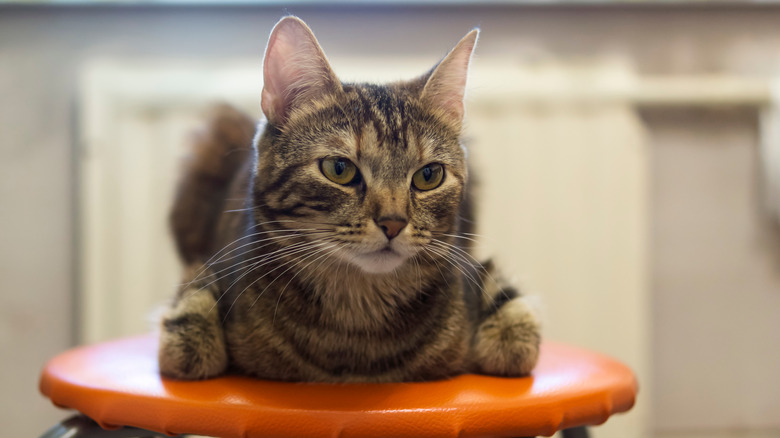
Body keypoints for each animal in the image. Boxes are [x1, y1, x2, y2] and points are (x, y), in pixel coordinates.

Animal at [157, 15, 536, 382]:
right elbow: (191, 325)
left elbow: (518, 332)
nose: (393, 223)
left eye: (429, 176)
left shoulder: (473, 267)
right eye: (339, 169)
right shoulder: (206, 264)